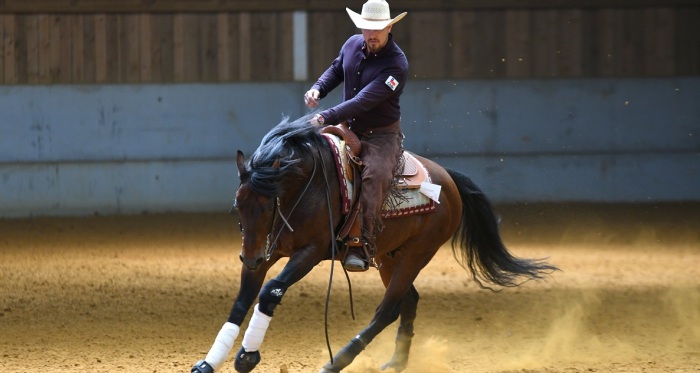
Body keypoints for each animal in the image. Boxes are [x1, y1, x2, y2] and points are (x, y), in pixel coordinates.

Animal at [191, 114, 556, 372]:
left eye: (269, 205)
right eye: (238, 205)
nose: (249, 258)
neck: (307, 183)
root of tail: (448, 181)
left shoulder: (309, 253)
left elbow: (270, 292)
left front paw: (246, 356)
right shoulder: (268, 252)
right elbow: (241, 301)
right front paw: (209, 363)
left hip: (416, 254)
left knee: (387, 310)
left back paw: (335, 363)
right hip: (389, 256)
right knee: (408, 302)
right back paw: (395, 363)